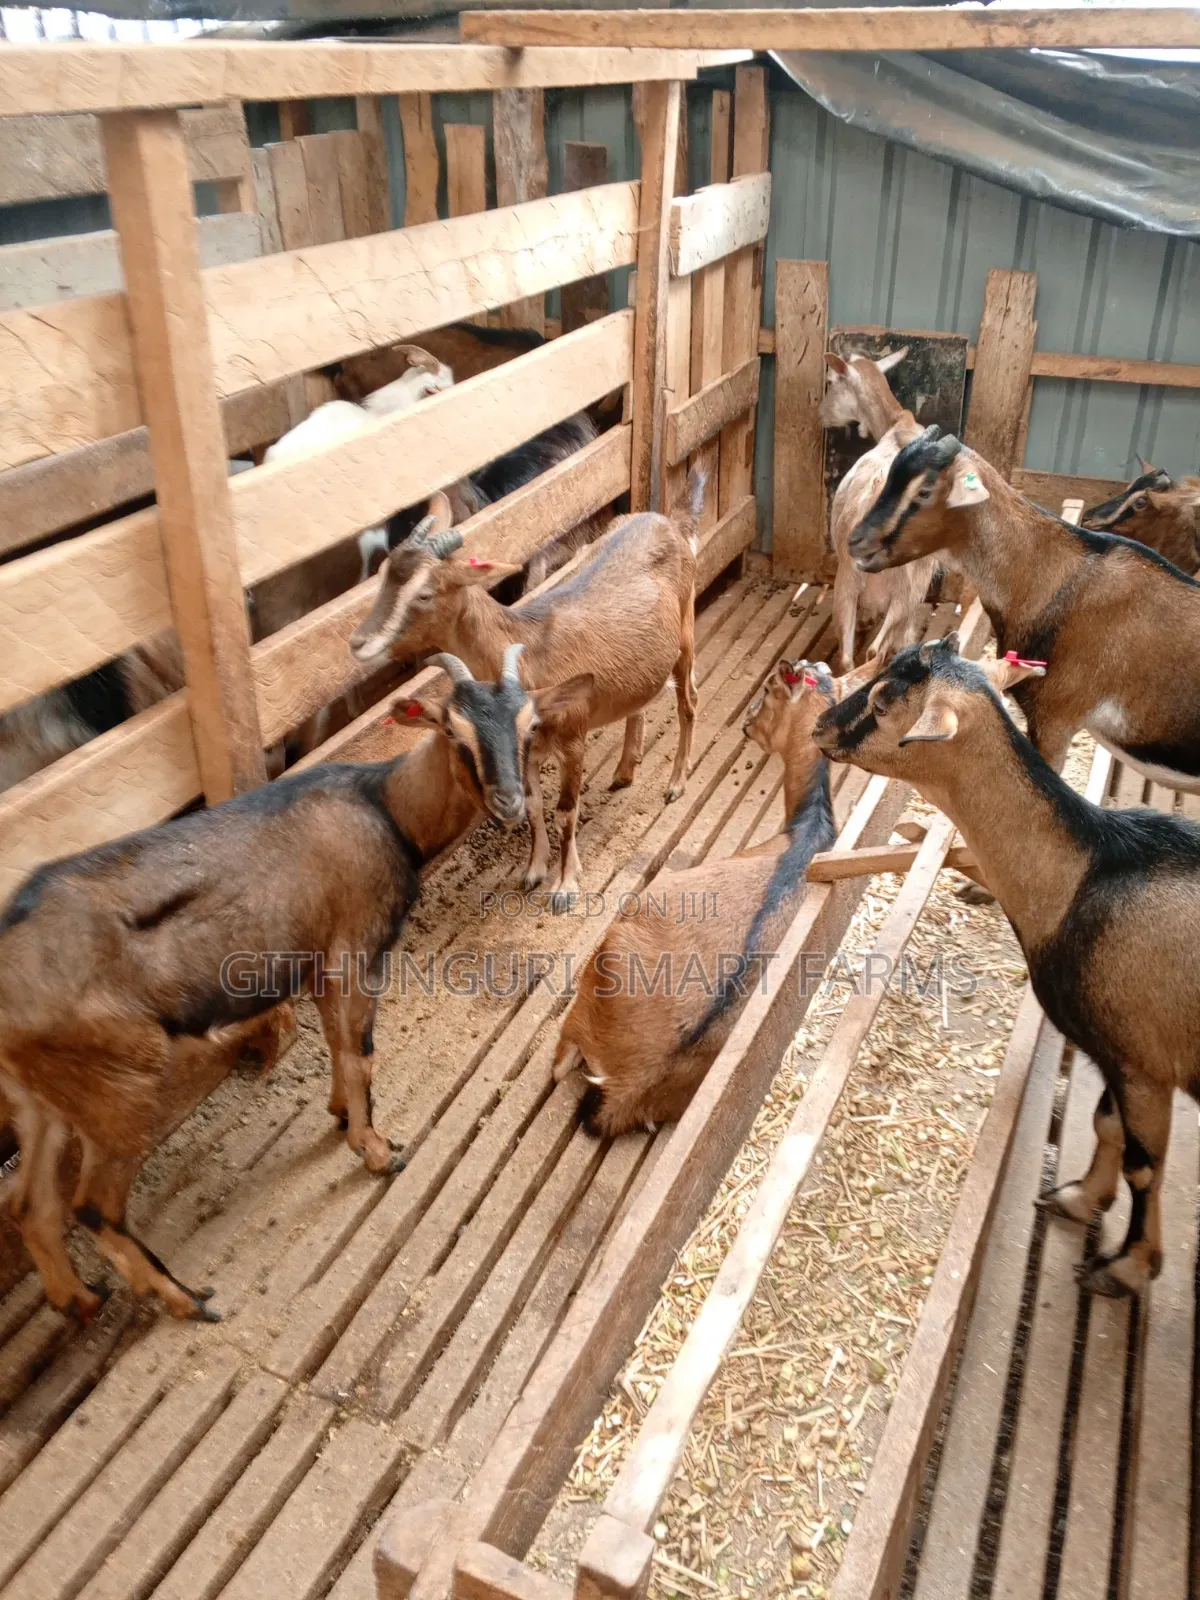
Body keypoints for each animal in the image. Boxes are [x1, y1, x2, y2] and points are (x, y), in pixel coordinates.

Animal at [0, 641, 591, 1322]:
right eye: (451, 728)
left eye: (529, 726)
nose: (510, 803)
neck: (385, 807)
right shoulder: (355, 948)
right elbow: (361, 1051)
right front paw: (376, 1150)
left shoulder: (316, 960)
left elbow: (338, 1044)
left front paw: (340, 1116)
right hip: (117, 1085)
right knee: (94, 1205)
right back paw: (188, 1300)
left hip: (41, 1095)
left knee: (29, 1205)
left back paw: (78, 1299)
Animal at [350, 472, 702, 911]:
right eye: (383, 573)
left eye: (425, 593)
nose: (359, 642)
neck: (530, 650)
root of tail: (665, 520)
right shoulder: (527, 748)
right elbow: (534, 804)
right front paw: (534, 871)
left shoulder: (572, 738)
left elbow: (566, 811)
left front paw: (565, 887)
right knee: (639, 701)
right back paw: (624, 772)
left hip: (685, 633)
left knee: (688, 701)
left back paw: (676, 784)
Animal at [551, 658, 882, 1137]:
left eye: (769, 689)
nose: (747, 722)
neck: (809, 828)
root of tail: (628, 1087)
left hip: (601, 969)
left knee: (560, 1061)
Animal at [814, 632, 1200, 1296]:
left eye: (885, 701)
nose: (820, 727)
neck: (1084, 877)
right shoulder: (1112, 1053)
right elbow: (1106, 1125)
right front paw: (1077, 1198)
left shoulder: (1143, 1060)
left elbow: (1144, 1166)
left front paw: (1126, 1268)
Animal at [820, 349, 940, 669]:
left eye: (831, 382)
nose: (821, 415)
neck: (896, 424)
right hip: (909, 584)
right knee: (875, 651)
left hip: (848, 577)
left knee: (848, 656)